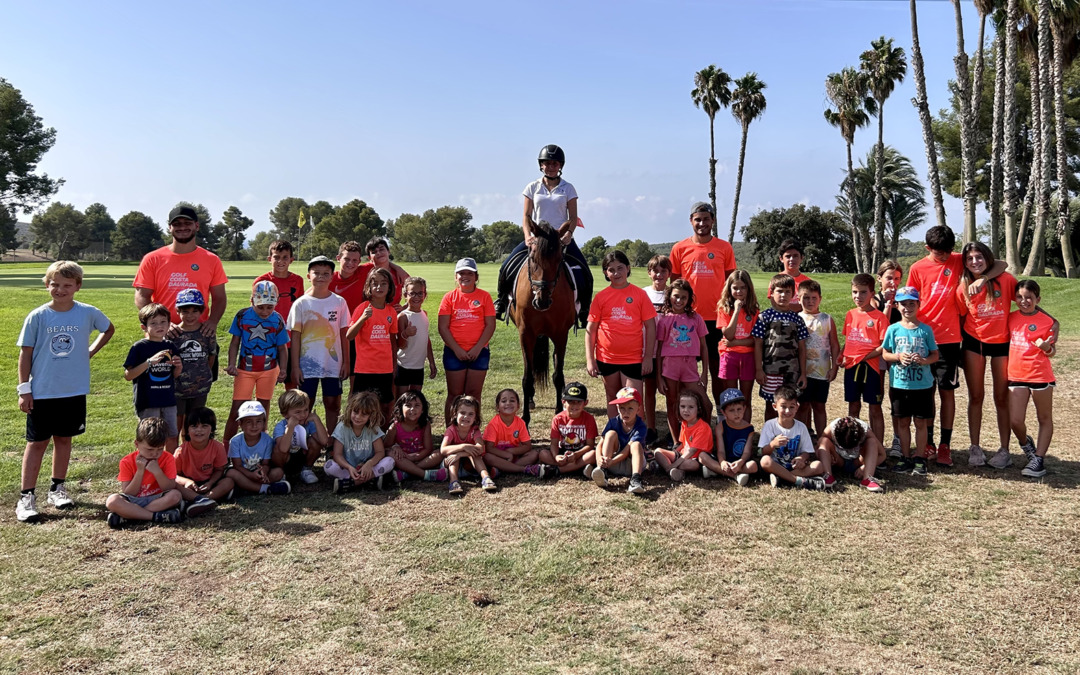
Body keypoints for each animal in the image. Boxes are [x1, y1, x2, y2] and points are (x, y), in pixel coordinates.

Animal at [509, 218, 578, 423]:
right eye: (533, 258)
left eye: (559, 260)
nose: (542, 300)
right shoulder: (526, 334)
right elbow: (527, 377)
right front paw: (525, 417)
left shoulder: (561, 335)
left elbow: (558, 375)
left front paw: (559, 410)